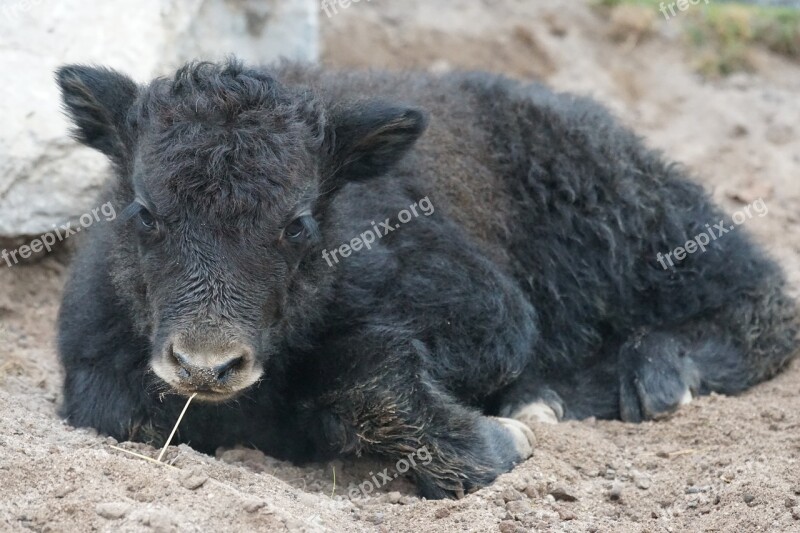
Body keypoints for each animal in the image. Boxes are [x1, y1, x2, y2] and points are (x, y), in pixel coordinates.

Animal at [54, 59, 792, 498]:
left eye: (297, 223)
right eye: (144, 211)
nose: (206, 364)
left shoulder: (488, 311)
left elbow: (364, 372)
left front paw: (505, 436)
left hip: (642, 231)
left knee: (757, 296)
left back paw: (654, 375)